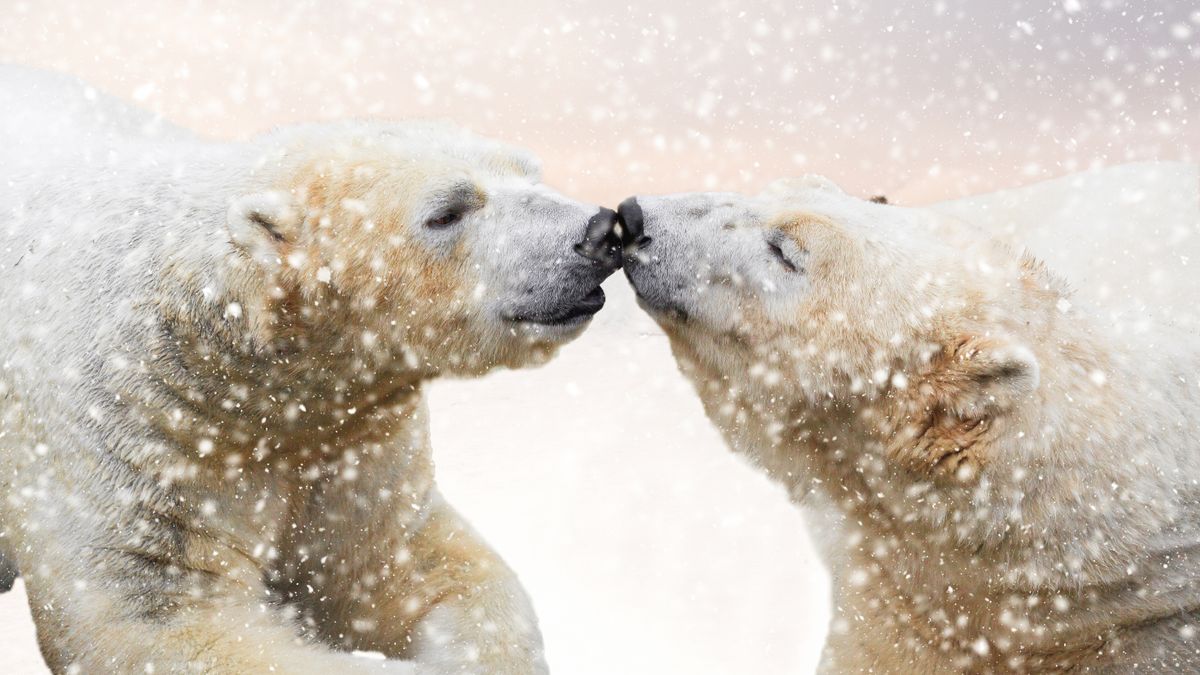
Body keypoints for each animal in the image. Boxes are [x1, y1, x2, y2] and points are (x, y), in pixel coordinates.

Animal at [0, 66, 619, 672]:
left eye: (531, 171)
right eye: (447, 211)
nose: (599, 230)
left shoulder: (351, 436)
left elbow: (403, 563)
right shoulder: (135, 419)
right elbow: (158, 611)